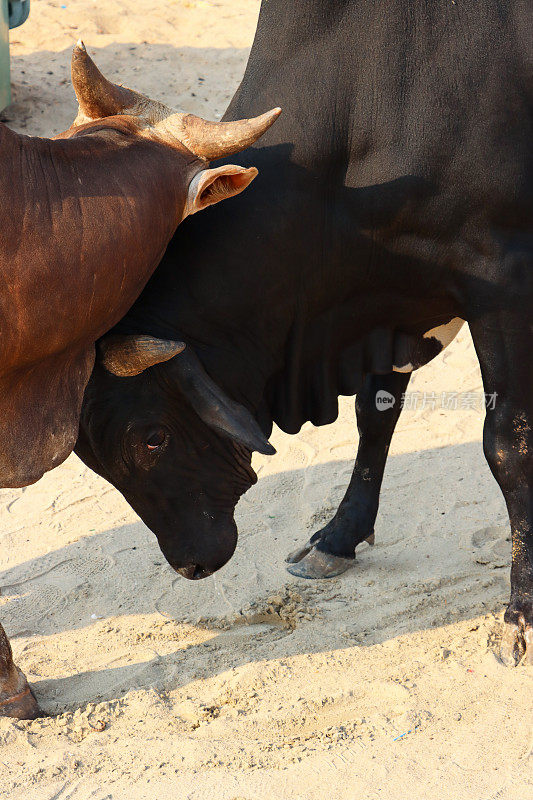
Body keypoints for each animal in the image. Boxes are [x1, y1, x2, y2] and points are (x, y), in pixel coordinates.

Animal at [76, 0, 532, 668]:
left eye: (152, 438)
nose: (190, 565)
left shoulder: (502, 283)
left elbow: (507, 445)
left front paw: (519, 612)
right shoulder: (390, 303)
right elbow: (376, 415)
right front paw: (339, 538)